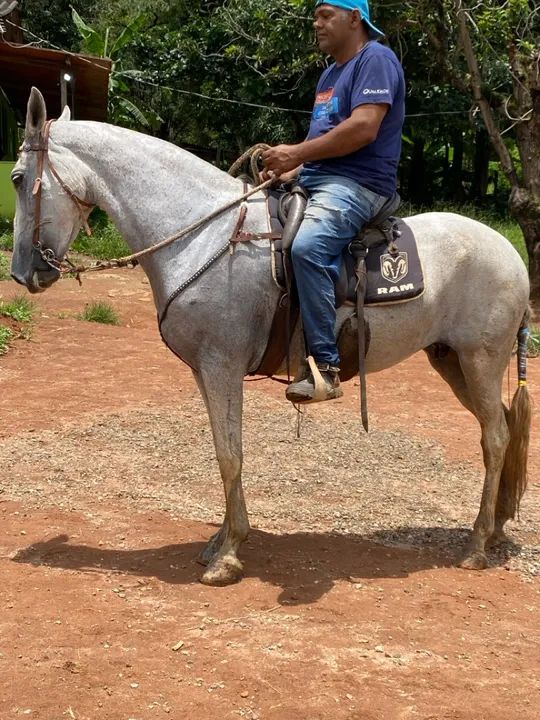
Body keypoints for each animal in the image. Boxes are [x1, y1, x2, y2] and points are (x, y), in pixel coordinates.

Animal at [10, 88, 531, 586]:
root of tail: (511, 254)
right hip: (451, 360)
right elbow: (224, 449)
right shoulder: (206, 371)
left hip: (480, 360)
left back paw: (477, 545)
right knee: (501, 429)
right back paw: (496, 527)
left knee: (495, 437)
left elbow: (229, 455)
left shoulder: (222, 366)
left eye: (15, 178)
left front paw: (229, 553)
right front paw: (220, 541)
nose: (22, 273)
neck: (205, 235)